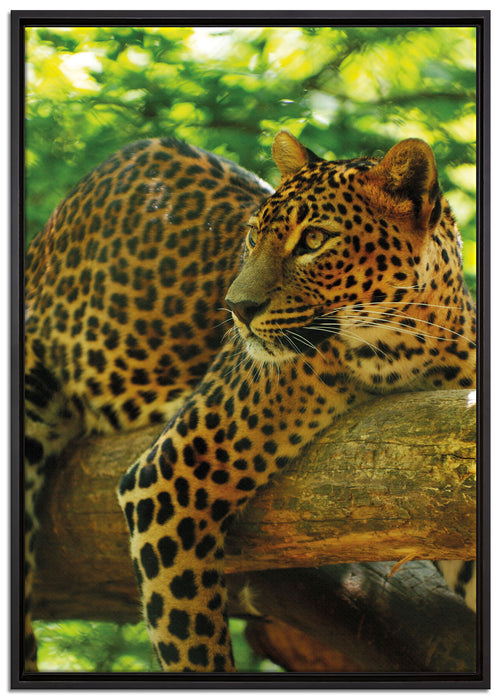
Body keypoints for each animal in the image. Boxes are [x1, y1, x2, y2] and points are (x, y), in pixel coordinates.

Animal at [24, 131, 476, 673]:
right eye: (252, 237)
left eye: (314, 240)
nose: (236, 308)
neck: (405, 350)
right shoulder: (168, 475)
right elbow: (191, 639)